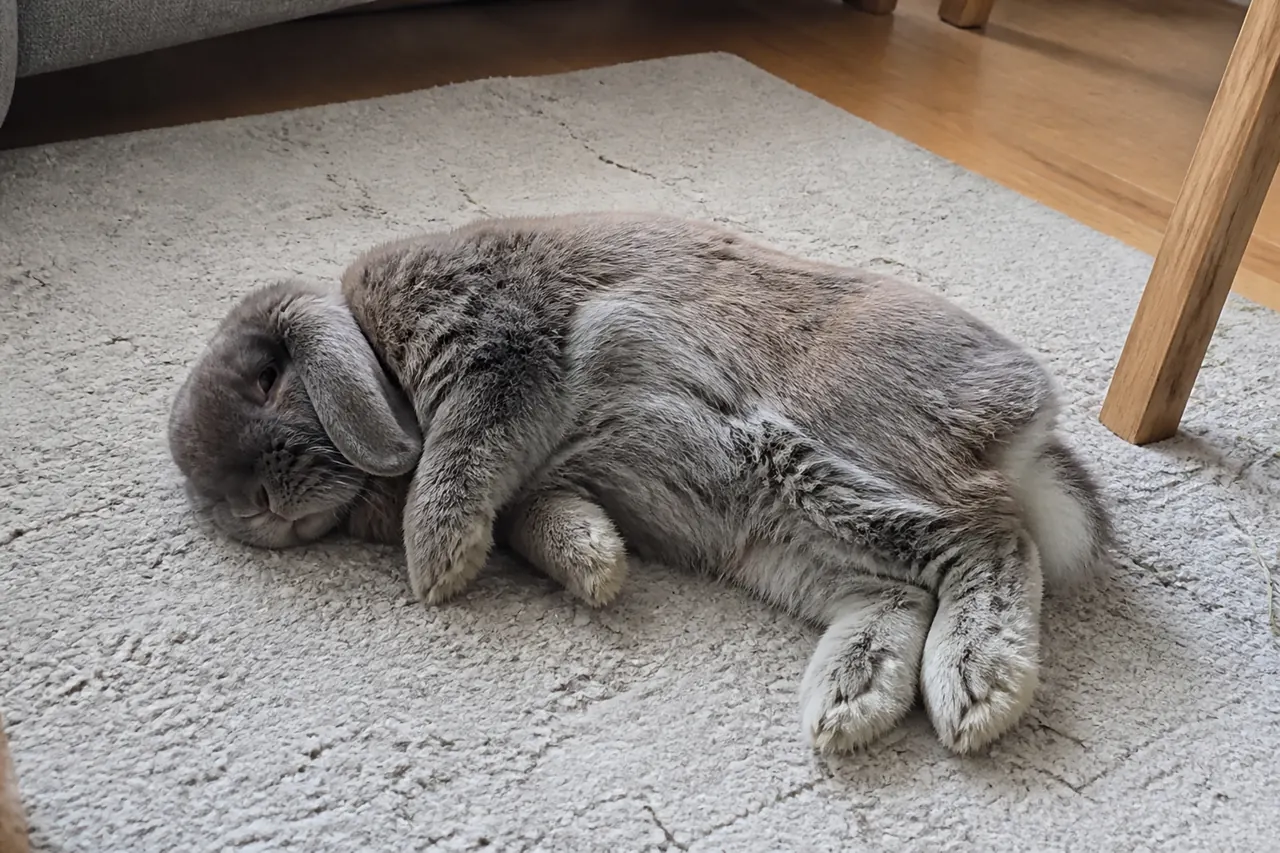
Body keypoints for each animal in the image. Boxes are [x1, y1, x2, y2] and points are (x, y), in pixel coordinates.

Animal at [168, 211, 1113, 756]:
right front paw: (595, 566)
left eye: (269, 379)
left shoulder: (497, 358)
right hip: (776, 535)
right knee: (900, 589)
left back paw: (979, 686)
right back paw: (852, 700)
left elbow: (458, 456)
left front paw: (434, 564)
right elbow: (538, 518)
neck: (376, 351)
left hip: (812, 455)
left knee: (988, 541)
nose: (251, 508)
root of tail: (1031, 435)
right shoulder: (528, 486)